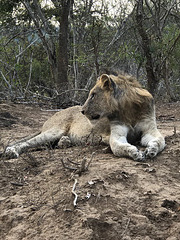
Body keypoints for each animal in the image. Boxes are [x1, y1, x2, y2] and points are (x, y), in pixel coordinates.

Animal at [3, 72, 165, 160]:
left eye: (93, 95)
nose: (82, 111)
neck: (128, 109)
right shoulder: (117, 133)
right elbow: (120, 146)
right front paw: (134, 152)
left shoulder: (150, 129)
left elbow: (159, 141)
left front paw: (151, 150)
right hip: (54, 131)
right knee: (28, 143)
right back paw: (11, 151)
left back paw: (65, 142)